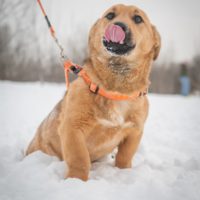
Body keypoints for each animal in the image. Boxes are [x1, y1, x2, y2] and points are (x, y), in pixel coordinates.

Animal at [26, 3, 161, 181]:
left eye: (138, 18)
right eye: (110, 15)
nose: (118, 25)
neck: (116, 89)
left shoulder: (134, 132)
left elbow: (124, 157)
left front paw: (124, 173)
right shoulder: (72, 128)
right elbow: (80, 159)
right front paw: (76, 180)